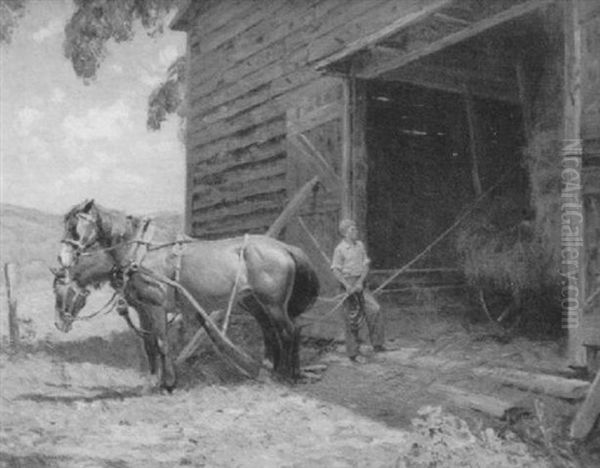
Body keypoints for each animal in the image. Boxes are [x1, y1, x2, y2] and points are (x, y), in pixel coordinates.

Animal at [54, 199, 322, 390]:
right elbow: (149, 345)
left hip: (273, 305)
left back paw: (287, 375)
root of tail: (284, 247)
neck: (141, 250)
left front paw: (169, 384)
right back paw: (269, 371)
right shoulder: (142, 308)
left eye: (75, 227)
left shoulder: (156, 306)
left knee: (289, 331)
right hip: (253, 303)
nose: (63, 258)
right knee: (270, 332)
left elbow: (162, 343)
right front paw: (153, 381)